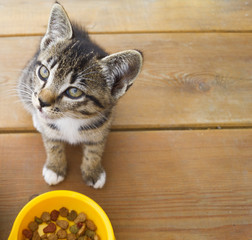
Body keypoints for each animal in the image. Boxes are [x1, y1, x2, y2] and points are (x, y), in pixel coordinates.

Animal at [18, 2, 143, 188]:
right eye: (44, 72)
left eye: (74, 92)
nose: (41, 101)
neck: (71, 118)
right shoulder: (49, 127)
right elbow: (52, 143)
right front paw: (55, 167)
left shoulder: (103, 123)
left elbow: (96, 147)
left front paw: (93, 170)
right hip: (24, 82)